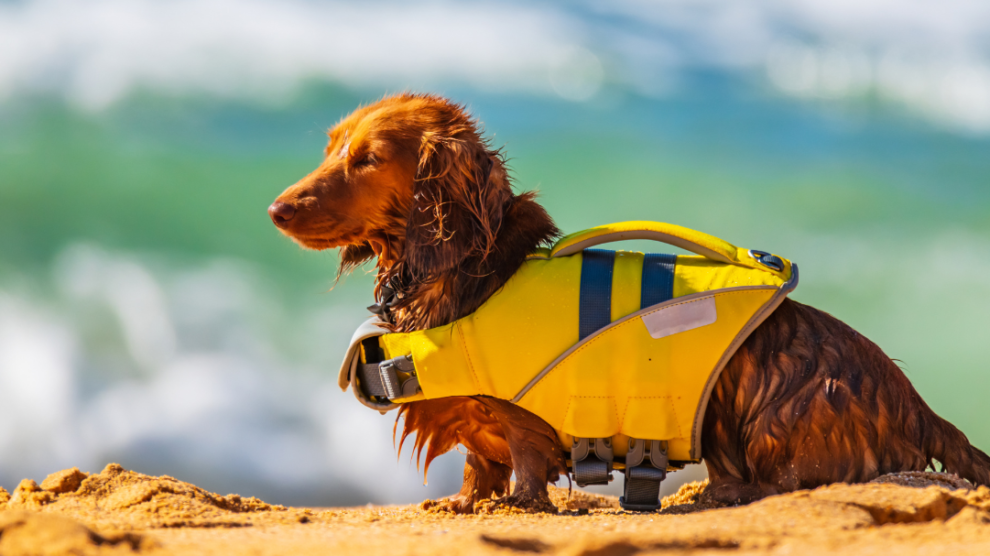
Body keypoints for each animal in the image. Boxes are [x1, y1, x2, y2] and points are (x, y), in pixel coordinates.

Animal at [272, 91, 990, 512]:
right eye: (331, 147)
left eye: (368, 158)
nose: (277, 209)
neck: (470, 273)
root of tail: (917, 404)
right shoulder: (479, 427)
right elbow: (480, 466)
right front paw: (466, 504)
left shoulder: (523, 418)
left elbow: (524, 466)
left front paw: (514, 507)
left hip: (768, 407)